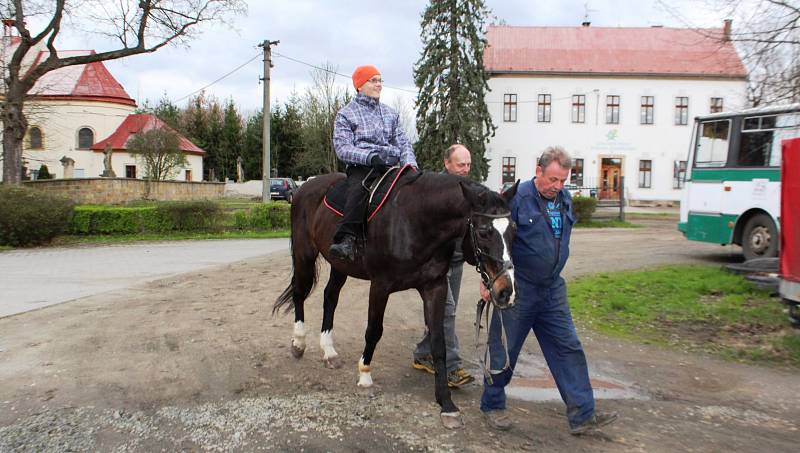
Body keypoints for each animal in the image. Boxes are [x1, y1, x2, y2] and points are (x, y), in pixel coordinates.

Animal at [272, 170, 516, 428]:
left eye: (514, 231)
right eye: (483, 232)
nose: (505, 291)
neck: (415, 221)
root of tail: (306, 186)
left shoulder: (435, 287)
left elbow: (439, 342)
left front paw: (447, 404)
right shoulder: (380, 285)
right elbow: (373, 331)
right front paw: (365, 376)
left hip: (340, 264)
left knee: (330, 297)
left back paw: (329, 352)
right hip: (304, 253)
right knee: (299, 293)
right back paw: (298, 343)